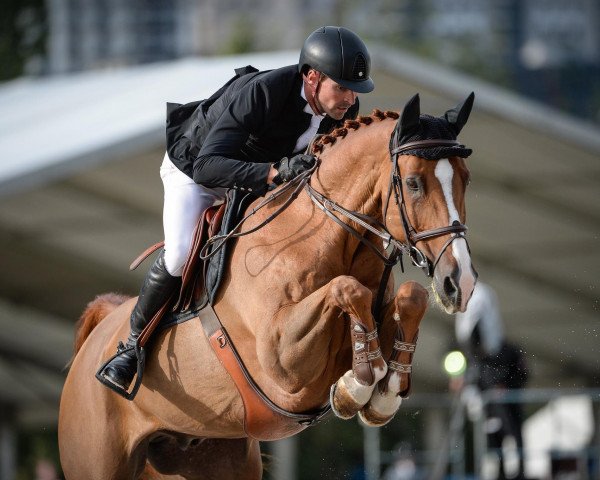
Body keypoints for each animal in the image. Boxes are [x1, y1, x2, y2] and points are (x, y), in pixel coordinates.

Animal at [57, 94, 478, 480]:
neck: (327, 237)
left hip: (210, 456)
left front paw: (383, 393)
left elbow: (412, 296)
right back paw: (122, 365)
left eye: (465, 179)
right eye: (413, 183)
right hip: (100, 458)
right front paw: (356, 384)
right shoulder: (283, 360)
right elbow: (347, 289)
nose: (460, 283)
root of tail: (99, 330)